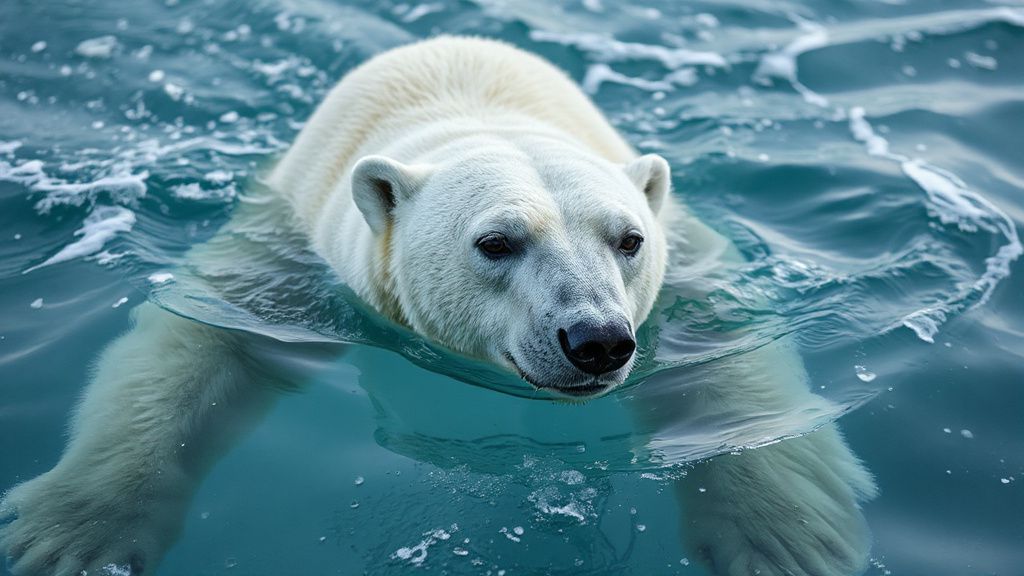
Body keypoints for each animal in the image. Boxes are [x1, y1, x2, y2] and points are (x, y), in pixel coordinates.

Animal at [1, 36, 875, 575]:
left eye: (628, 239)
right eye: (496, 242)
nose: (596, 339)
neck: (474, 117)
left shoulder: (685, 274)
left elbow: (737, 376)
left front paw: (788, 544)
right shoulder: (292, 272)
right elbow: (194, 351)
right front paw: (72, 534)